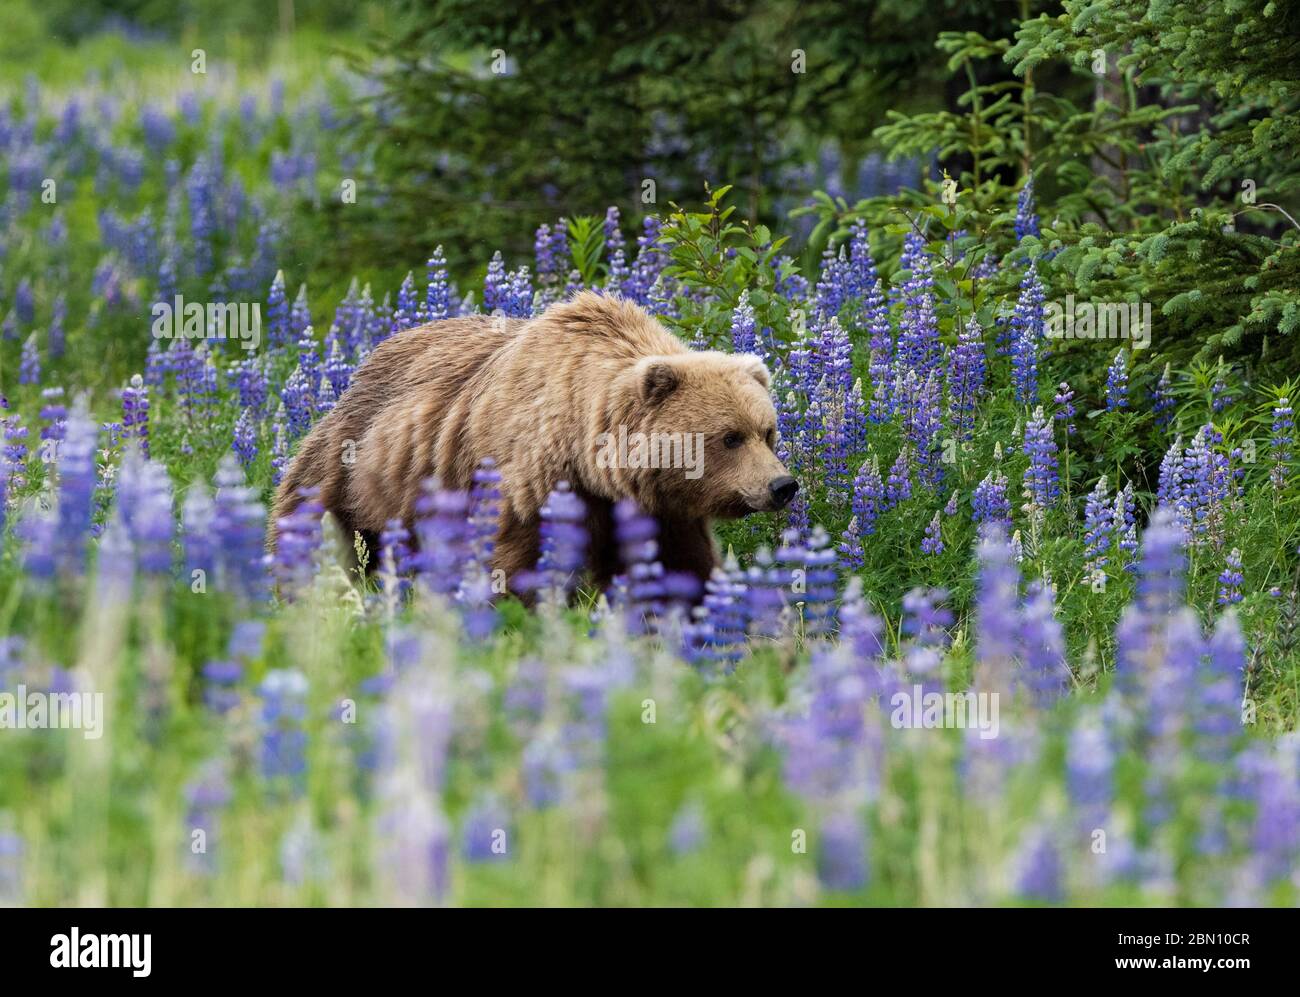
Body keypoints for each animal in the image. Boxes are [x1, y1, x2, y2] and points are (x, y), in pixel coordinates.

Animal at [270, 288, 795, 597]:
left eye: (767, 432)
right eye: (730, 437)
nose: (782, 486)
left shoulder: (658, 507)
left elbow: (680, 568)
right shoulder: (526, 479)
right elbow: (514, 561)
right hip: (354, 468)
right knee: (312, 524)